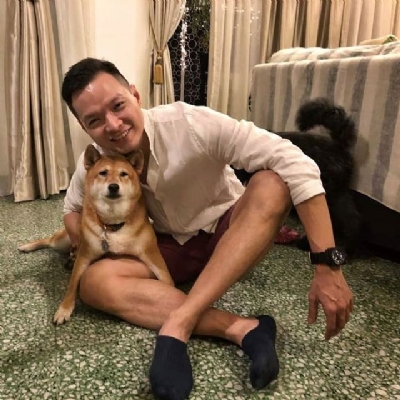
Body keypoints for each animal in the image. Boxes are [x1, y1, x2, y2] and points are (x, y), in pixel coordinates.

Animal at [19, 144, 174, 325]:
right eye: (103, 173)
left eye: (124, 174)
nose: (113, 186)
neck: (112, 224)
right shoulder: (84, 255)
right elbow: (72, 284)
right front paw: (64, 309)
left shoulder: (152, 254)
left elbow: (167, 279)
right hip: (63, 241)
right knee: (48, 240)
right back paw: (27, 246)